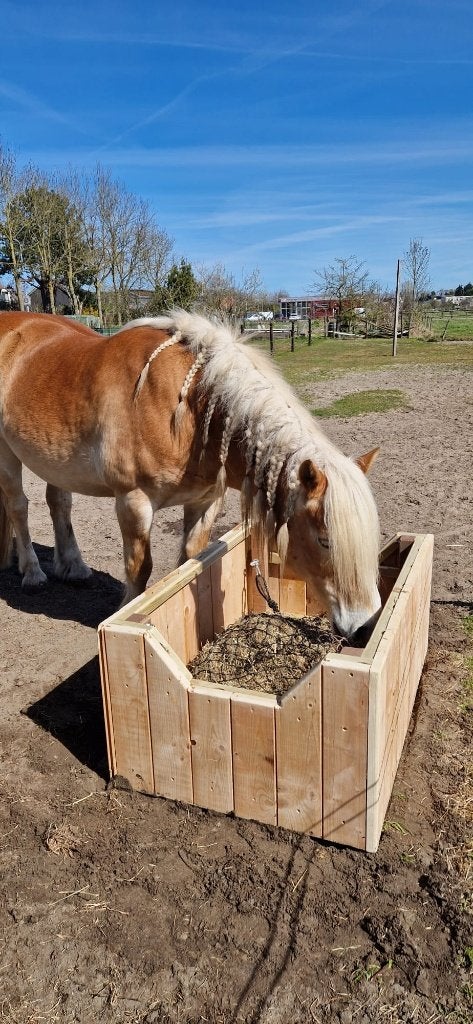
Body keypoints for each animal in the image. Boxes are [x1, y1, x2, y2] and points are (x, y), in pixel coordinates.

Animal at [0, 309, 381, 637]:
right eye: (325, 540)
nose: (363, 625)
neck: (190, 411)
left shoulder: (205, 501)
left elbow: (189, 563)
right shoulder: (133, 501)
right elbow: (140, 569)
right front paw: (128, 609)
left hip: (54, 459)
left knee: (58, 502)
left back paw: (72, 567)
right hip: (7, 453)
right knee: (18, 507)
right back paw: (32, 572)